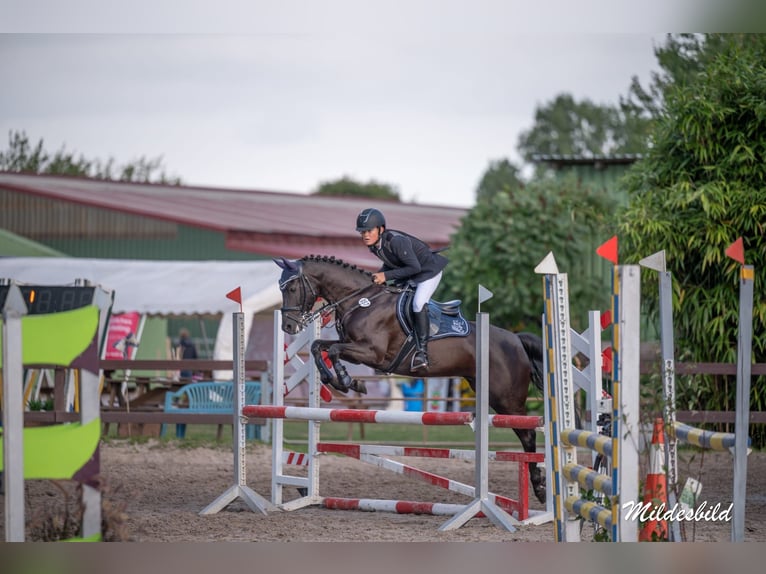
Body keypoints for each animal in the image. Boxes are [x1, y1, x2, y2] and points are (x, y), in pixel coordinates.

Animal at [272, 255, 548, 504]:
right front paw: (343, 381)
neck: (362, 302)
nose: (288, 327)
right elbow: (319, 347)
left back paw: (540, 488)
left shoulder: (372, 353)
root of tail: (516, 339)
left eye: (292, 288)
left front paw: (346, 380)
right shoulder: (354, 347)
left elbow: (333, 351)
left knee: (528, 436)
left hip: (506, 400)